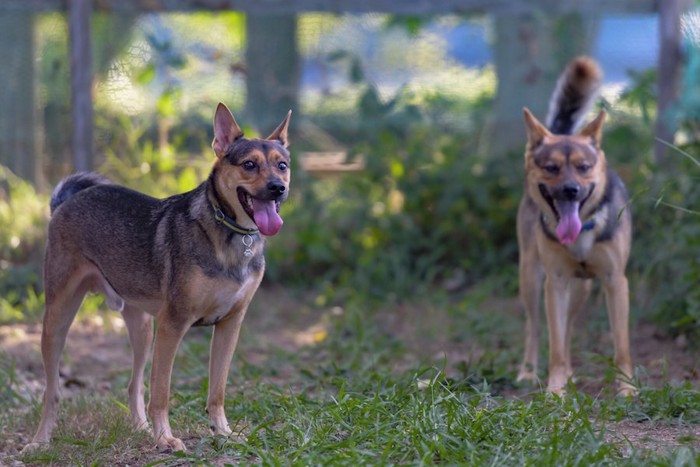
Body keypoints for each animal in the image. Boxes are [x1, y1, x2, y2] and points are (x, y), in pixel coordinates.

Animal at [24, 103, 292, 454]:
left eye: (282, 165)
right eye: (249, 164)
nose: (278, 188)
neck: (230, 234)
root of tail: (66, 201)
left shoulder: (230, 324)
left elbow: (217, 390)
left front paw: (222, 432)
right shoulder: (173, 324)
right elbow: (161, 391)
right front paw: (165, 437)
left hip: (141, 328)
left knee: (133, 385)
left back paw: (140, 429)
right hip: (57, 319)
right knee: (52, 390)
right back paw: (40, 441)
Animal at [516, 56, 636, 396]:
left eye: (584, 168)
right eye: (551, 168)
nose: (570, 190)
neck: (583, 232)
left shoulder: (615, 281)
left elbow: (621, 345)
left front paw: (627, 389)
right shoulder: (555, 282)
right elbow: (554, 345)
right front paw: (555, 390)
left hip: (582, 288)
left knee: (568, 328)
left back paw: (570, 373)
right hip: (531, 278)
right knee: (534, 327)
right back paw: (529, 372)